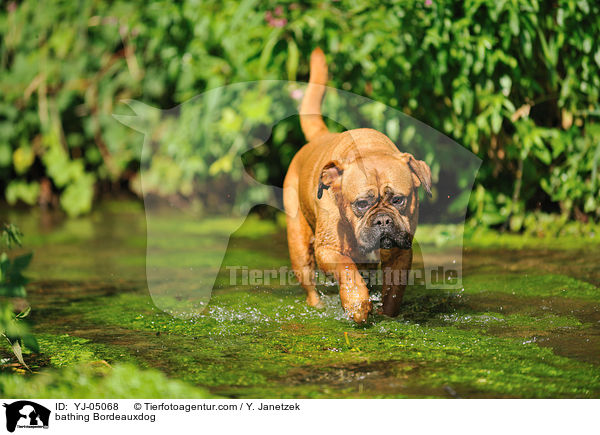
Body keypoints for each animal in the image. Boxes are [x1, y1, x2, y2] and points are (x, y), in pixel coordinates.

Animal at [282, 49, 432, 326]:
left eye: (399, 200)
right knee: (310, 285)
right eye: (361, 204)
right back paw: (318, 305)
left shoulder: (400, 252)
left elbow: (393, 290)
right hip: (299, 246)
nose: (383, 220)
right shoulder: (328, 250)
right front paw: (356, 303)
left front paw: (387, 313)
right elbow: (346, 268)